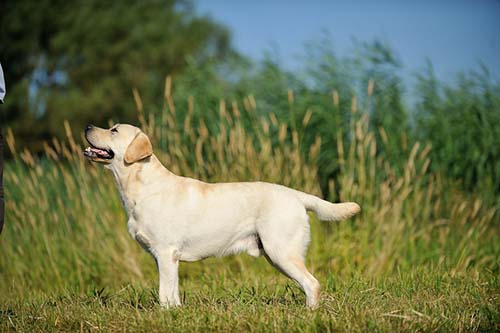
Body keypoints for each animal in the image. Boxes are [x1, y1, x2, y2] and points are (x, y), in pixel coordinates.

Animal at [85, 123, 360, 308]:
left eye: (113, 130)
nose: (87, 126)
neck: (140, 186)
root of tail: (296, 195)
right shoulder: (165, 258)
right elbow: (172, 291)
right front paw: (175, 312)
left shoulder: (165, 252)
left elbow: (164, 292)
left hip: (281, 251)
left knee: (312, 283)